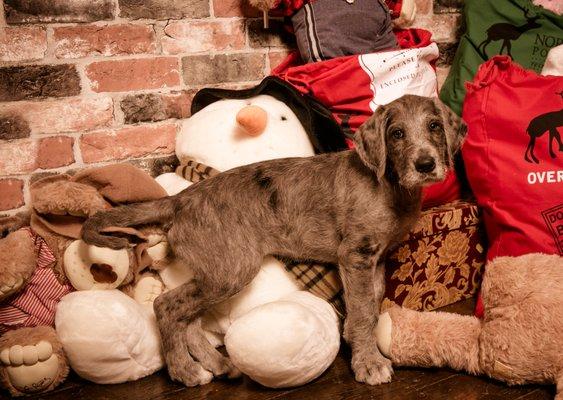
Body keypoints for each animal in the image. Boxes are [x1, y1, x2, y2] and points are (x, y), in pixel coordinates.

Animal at [79, 94, 468, 388]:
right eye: (397, 133)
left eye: (434, 126)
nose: (425, 164)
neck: (389, 186)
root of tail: (179, 200)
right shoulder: (355, 255)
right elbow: (361, 312)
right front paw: (368, 364)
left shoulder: (375, 259)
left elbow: (370, 307)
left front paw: (360, 345)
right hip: (230, 269)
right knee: (167, 306)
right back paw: (186, 372)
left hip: (214, 270)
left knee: (186, 318)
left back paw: (216, 364)